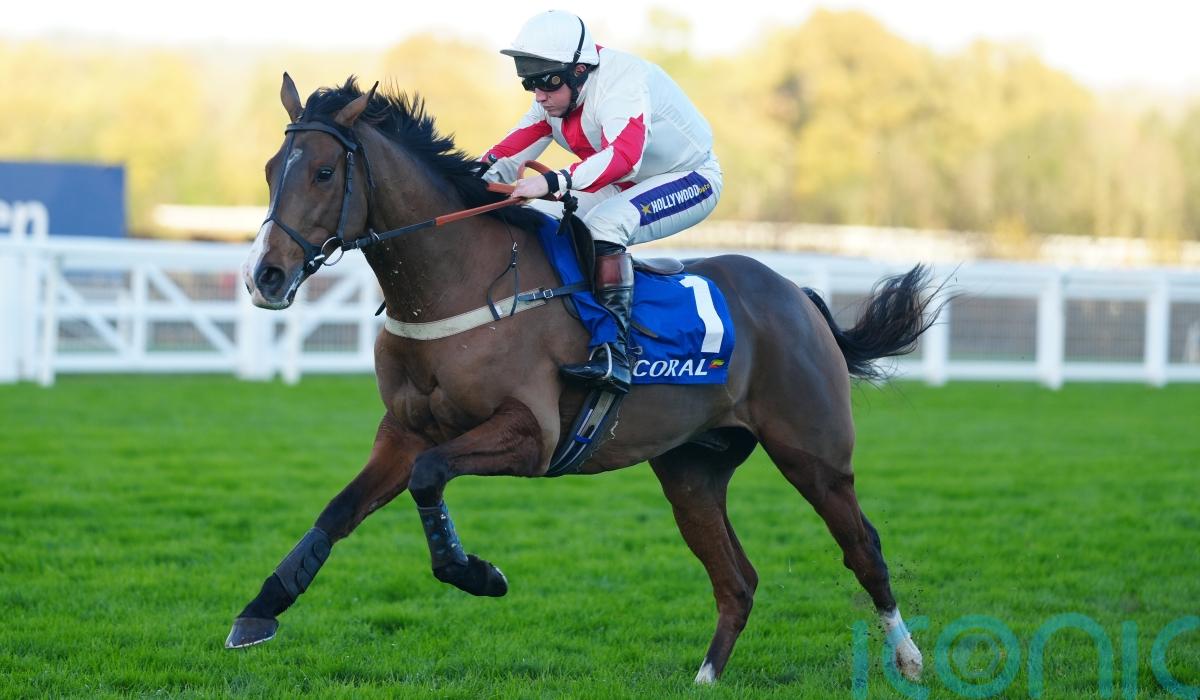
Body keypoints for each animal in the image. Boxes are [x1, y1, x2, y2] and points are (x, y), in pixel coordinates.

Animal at [228, 73, 933, 684]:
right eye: (269, 169)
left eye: (323, 172)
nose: (265, 276)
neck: (461, 283)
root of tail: (799, 296)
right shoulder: (402, 432)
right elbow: (339, 510)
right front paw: (259, 610)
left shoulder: (530, 436)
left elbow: (430, 477)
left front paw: (479, 572)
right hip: (693, 471)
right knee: (737, 580)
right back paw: (706, 678)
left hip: (814, 456)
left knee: (863, 548)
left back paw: (909, 659)